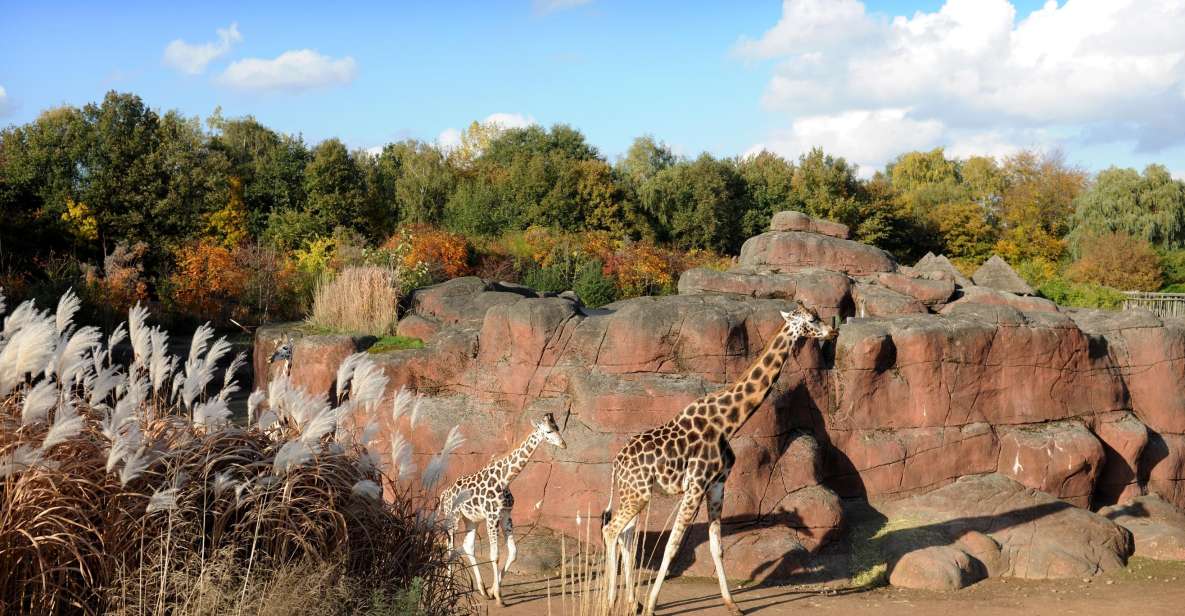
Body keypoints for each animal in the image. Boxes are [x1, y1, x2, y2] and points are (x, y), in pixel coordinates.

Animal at [440, 412, 568, 604]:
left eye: (558, 427)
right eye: (548, 431)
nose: (563, 444)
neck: (505, 479)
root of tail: (443, 494)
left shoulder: (506, 515)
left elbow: (513, 552)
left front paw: (492, 591)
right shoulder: (492, 516)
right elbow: (495, 555)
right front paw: (499, 598)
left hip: (471, 519)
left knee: (468, 545)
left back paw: (481, 589)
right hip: (452, 517)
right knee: (450, 549)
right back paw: (448, 591)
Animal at [601, 303, 834, 616]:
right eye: (812, 319)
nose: (832, 331)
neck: (727, 422)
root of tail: (616, 464)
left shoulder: (717, 485)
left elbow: (716, 547)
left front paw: (733, 604)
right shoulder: (696, 485)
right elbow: (672, 546)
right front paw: (651, 606)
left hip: (635, 494)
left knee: (624, 536)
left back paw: (628, 602)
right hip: (637, 493)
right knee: (611, 530)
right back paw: (611, 602)